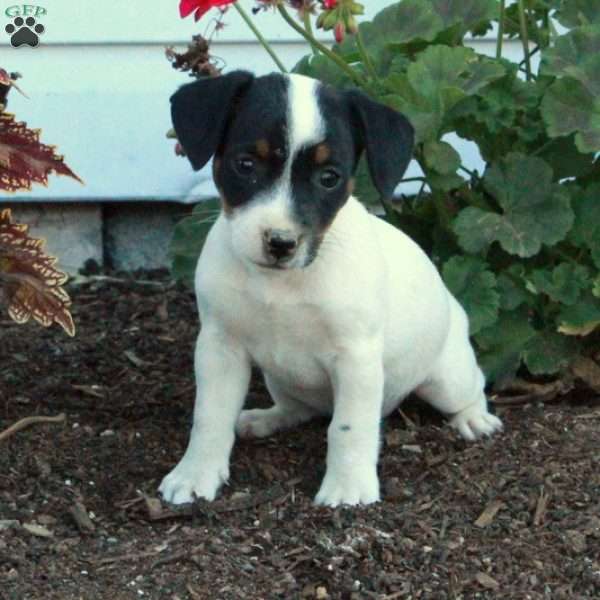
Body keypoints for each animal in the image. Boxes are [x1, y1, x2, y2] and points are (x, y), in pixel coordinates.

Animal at [159, 72, 502, 508]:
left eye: (329, 178)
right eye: (245, 164)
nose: (281, 242)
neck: (283, 282)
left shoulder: (355, 358)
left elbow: (348, 428)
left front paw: (348, 486)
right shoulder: (220, 348)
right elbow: (209, 416)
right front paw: (196, 473)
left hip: (446, 379)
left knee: (472, 388)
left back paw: (473, 418)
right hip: (281, 380)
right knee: (299, 408)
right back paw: (266, 418)